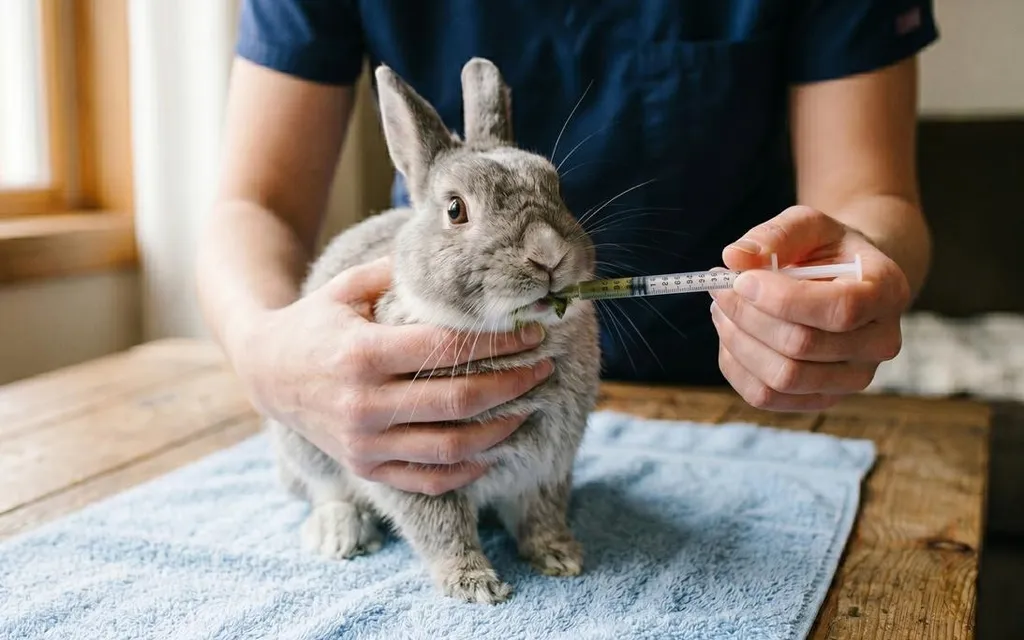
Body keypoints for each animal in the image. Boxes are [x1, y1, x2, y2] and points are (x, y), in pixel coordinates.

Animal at [268, 57, 601, 604]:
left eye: (558, 189)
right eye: (455, 209)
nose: (548, 254)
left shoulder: (545, 470)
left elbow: (540, 515)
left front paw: (561, 557)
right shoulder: (416, 474)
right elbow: (442, 529)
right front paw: (475, 585)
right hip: (304, 442)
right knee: (325, 490)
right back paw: (339, 534)